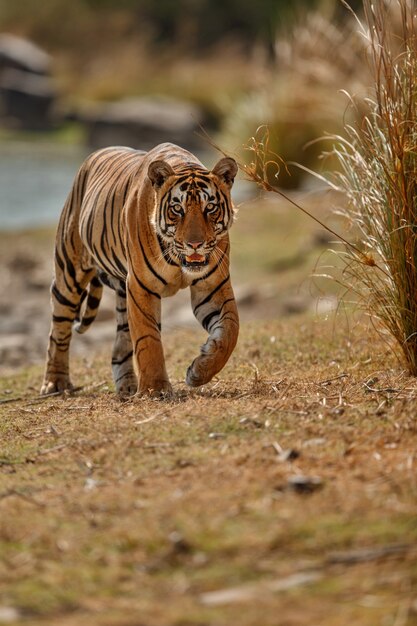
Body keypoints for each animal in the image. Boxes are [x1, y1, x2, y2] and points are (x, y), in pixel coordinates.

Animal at [41, 141, 239, 394]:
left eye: (210, 207)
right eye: (177, 209)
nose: (195, 244)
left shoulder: (213, 287)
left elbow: (230, 331)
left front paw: (199, 371)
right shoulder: (141, 286)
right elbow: (148, 339)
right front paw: (155, 389)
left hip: (121, 293)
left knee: (120, 345)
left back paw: (127, 386)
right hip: (69, 273)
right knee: (58, 330)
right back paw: (55, 383)